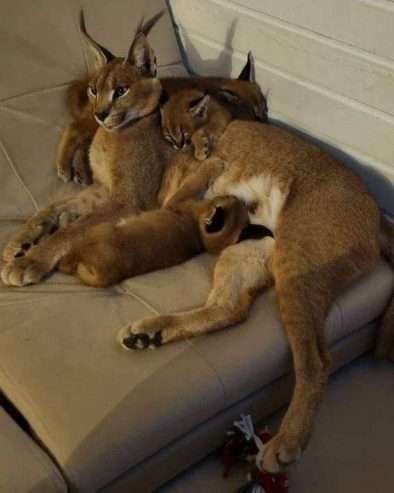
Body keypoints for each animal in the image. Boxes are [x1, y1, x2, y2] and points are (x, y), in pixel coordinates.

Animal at [2, 11, 390, 474]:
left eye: (121, 89)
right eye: (95, 88)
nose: (100, 113)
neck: (122, 132)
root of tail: (375, 207)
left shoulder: (125, 199)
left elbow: (69, 230)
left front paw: (31, 261)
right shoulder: (102, 192)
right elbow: (50, 210)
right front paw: (19, 245)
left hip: (297, 264)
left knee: (316, 358)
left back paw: (286, 443)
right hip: (249, 250)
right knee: (231, 310)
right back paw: (150, 332)